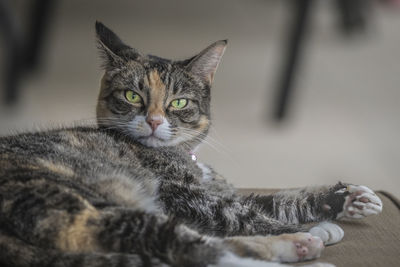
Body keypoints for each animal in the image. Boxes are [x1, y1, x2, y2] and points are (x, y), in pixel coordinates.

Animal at [0, 23, 382, 267]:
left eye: (179, 102)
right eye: (132, 95)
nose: (154, 120)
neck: (184, 156)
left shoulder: (215, 188)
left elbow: (272, 200)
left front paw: (352, 199)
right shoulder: (181, 196)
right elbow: (238, 212)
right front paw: (314, 226)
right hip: (69, 200)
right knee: (186, 249)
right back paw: (299, 244)